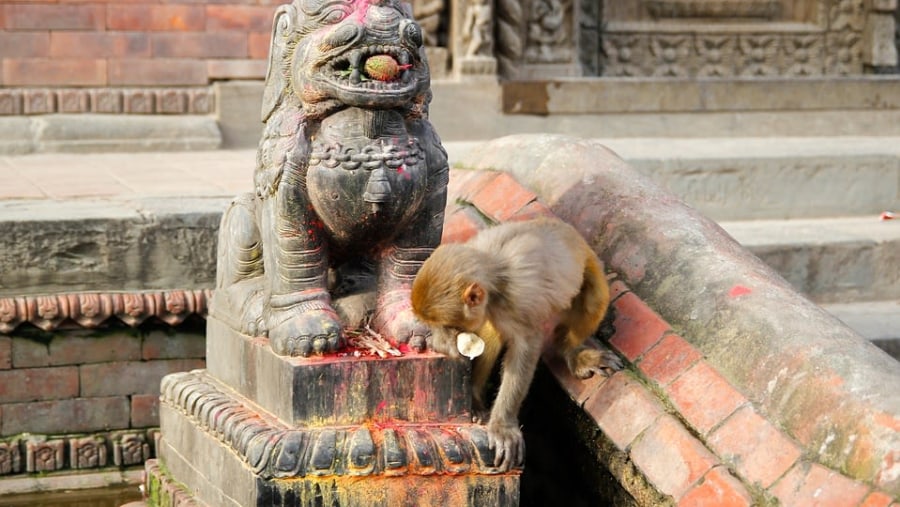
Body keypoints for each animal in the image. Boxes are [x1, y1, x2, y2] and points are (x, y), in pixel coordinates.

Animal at [412, 218, 624, 472]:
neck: (496, 272)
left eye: (448, 323)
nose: (441, 333)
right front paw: (445, 343)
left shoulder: (518, 300)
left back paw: (571, 352)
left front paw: (503, 427)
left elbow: (526, 347)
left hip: (590, 266)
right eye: (437, 325)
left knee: (594, 298)